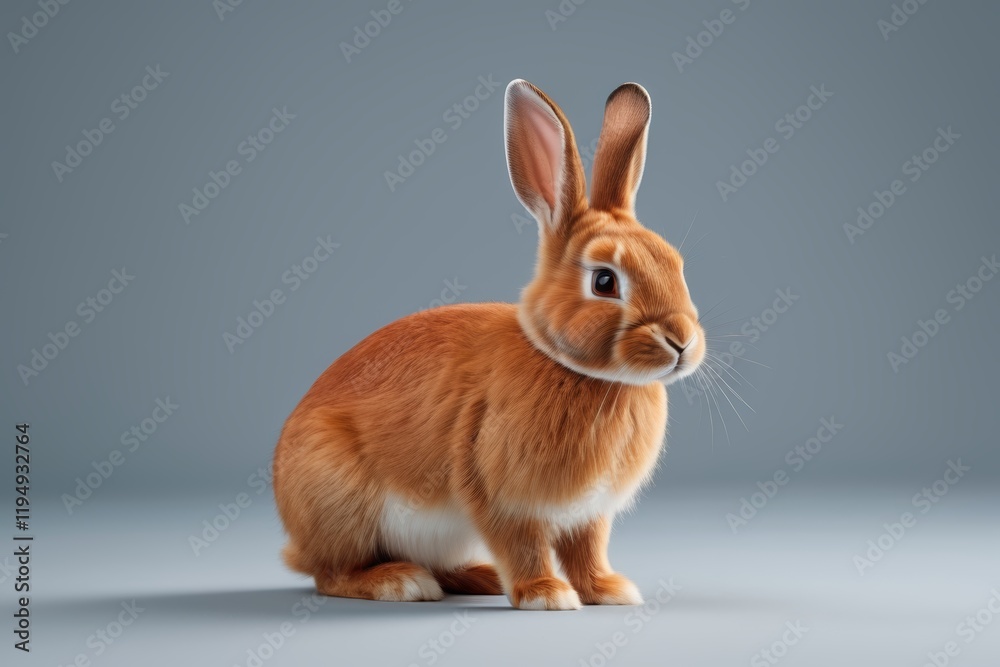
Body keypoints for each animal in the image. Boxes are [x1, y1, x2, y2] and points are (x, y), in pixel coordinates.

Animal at [273, 79, 706, 610]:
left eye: (675, 264)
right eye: (605, 281)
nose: (682, 342)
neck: (575, 369)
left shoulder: (589, 513)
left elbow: (587, 549)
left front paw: (608, 590)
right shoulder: (499, 495)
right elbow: (521, 545)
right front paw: (546, 595)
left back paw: (476, 577)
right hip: (341, 503)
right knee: (331, 573)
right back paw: (401, 583)